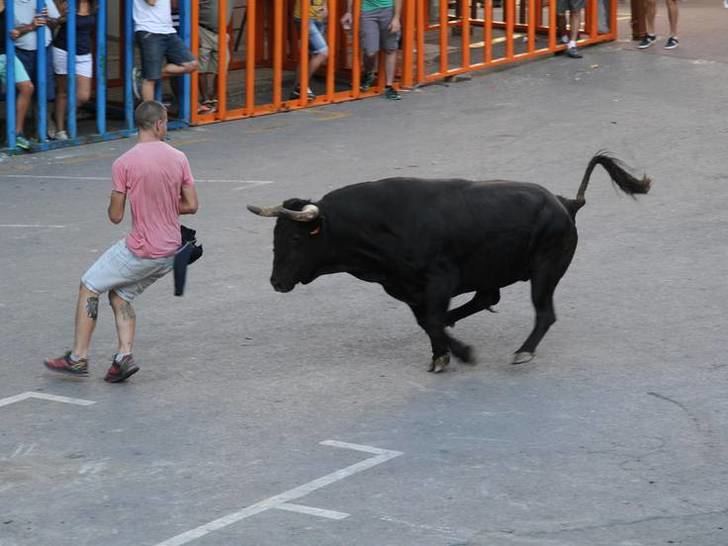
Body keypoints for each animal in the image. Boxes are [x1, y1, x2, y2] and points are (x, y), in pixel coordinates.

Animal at [247, 153, 652, 372]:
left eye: (295, 238)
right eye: (275, 237)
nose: (276, 282)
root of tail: (565, 203)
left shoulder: (438, 280)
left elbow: (431, 319)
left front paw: (461, 353)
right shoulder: (408, 289)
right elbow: (427, 321)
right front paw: (442, 354)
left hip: (545, 271)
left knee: (544, 313)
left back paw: (523, 351)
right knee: (487, 298)